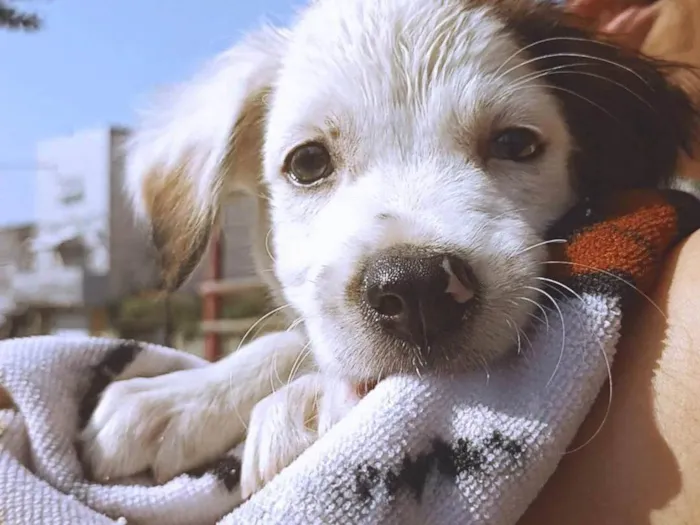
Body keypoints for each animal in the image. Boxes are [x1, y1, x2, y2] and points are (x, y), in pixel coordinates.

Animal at [78, 0, 700, 500]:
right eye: (308, 162)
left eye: (516, 144)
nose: (417, 288)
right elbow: (294, 336)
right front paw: (179, 398)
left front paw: (305, 405)